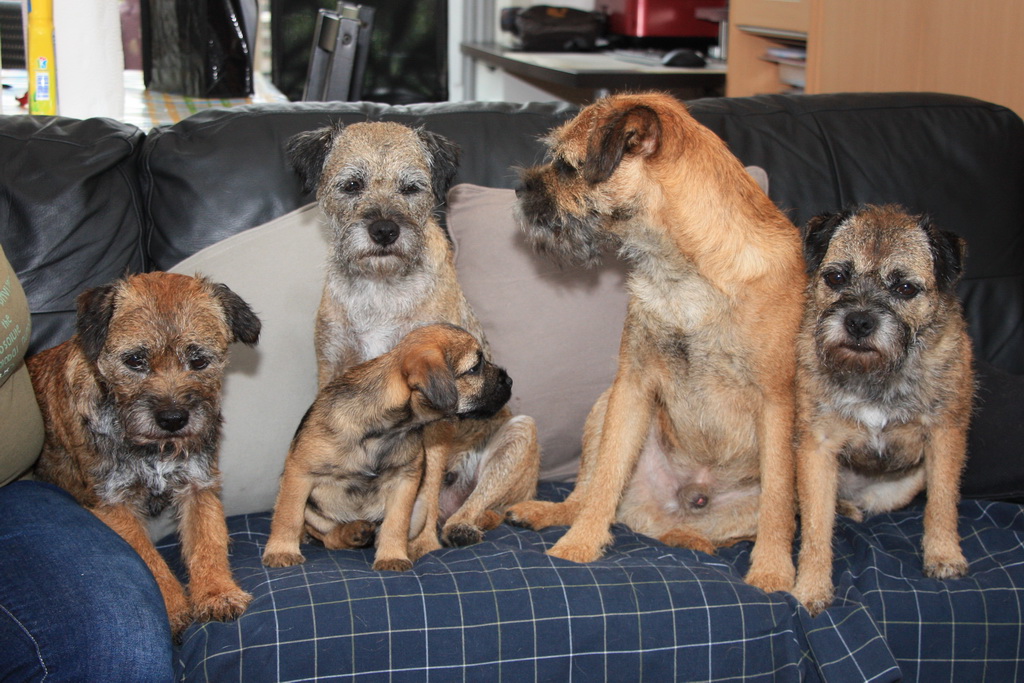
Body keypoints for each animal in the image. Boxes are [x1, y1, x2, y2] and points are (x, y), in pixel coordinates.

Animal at [28, 272, 261, 636]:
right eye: (135, 360)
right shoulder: (113, 503)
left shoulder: (198, 486)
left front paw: (216, 593)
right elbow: (148, 559)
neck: (151, 448)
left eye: (199, 360)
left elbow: (207, 543)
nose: (173, 419)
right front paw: (174, 607)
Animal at [262, 323, 514, 571]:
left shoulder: (405, 480)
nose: (510, 381)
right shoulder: (300, 472)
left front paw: (392, 556)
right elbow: (288, 516)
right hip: (313, 510)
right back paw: (350, 532)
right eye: (474, 368)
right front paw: (281, 551)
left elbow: (396, 523)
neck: (386, 429)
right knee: (328, 537)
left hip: (422, 506)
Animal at [286, 120, 539, 559]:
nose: (385, 230)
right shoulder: (331, 369)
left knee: (477, 503)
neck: (380, 287)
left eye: (411, 188)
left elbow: (431, 472)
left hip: (521, 434)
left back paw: (458, 526)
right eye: (351, 185)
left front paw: (420, 542)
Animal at [504, 92, 806, 593]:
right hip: (603, 406)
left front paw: (772, 572)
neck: (684, 276)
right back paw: (550, 512)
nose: (518, 189)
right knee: (586, 489)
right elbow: (606, 476)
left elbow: (779, 503)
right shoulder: (633, 384)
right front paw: (579, 546)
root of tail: (671, 511)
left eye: (566, 166)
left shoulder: (777, 402)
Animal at [791, 204, 973, 614]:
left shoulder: (944, 434)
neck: (874, 372)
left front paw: (943, 555)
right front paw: (810, 587)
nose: (859, 321)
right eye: (836, 277)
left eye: (905, 288)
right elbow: (815, 526)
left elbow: (942, 501)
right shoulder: (817, 448)